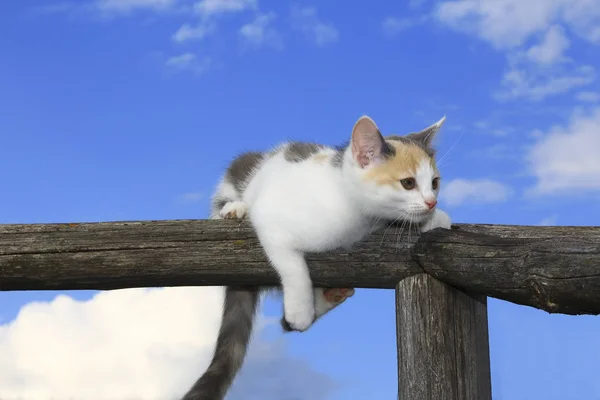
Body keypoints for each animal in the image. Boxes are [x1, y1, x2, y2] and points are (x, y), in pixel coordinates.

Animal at [180, 114, 452, 398]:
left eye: (435, 183)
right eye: (408, 183)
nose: (432, 202)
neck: (356, 216)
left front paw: (437, 219)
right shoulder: (270, 219)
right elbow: (293, 265)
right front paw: (299, 307)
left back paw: (328, 298)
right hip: (240, 172)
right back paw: (235, 209)